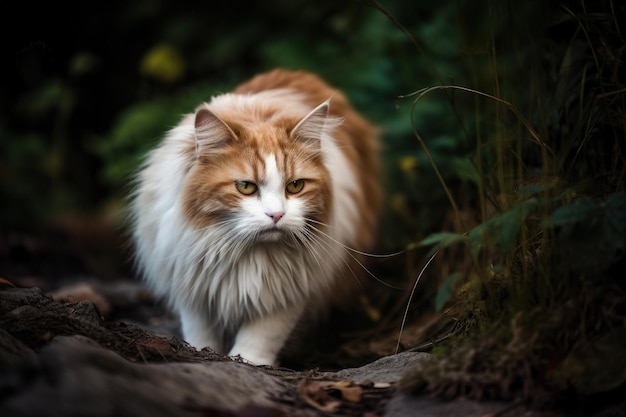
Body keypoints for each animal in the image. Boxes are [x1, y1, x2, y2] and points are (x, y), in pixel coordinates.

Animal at [129, 68, 378, 364]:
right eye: (245, 187)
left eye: (295, 186)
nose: (276, 214)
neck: (247, 254)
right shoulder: (194, 282)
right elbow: (200, 331)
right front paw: (202, 353)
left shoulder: (288, 291)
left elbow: (261, 337)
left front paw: (248, 361)